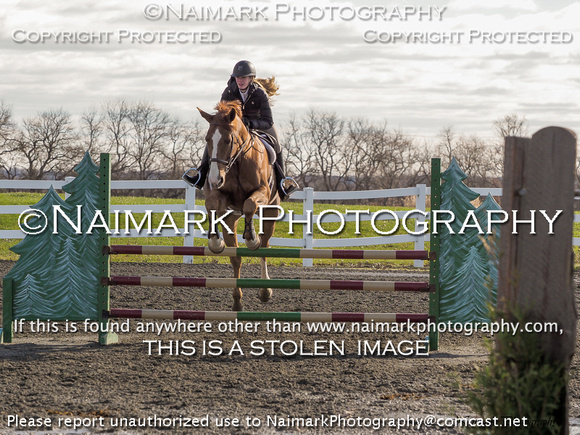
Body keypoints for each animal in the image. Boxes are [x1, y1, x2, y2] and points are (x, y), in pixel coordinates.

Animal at [198, 101, 282, 314]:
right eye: (208, 139)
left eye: (228, 140)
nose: (214, 179)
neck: (235, 163)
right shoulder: (218, 195)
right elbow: (211, 205)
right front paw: (215, 243)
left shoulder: (262, 192)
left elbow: (249, 204)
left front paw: (251, 238)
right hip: (230, 219)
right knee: (236, 258)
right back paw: (237, 301)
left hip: (271, 210)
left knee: (265, 246)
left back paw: (265, 291)